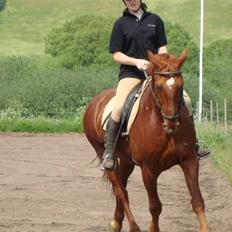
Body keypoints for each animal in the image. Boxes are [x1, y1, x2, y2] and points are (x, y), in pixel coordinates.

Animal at [83, 49, 208, 232]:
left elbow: (198, 201)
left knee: (122, 186)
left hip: (126, 160)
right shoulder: (148, 169)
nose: (172, 124)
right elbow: (155, 206)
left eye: (181, 86)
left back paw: (116, 222)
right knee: (121, 191)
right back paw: (133, 226)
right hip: (104, 155)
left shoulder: (190, 160)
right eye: (159, 87)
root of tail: (95, 102)